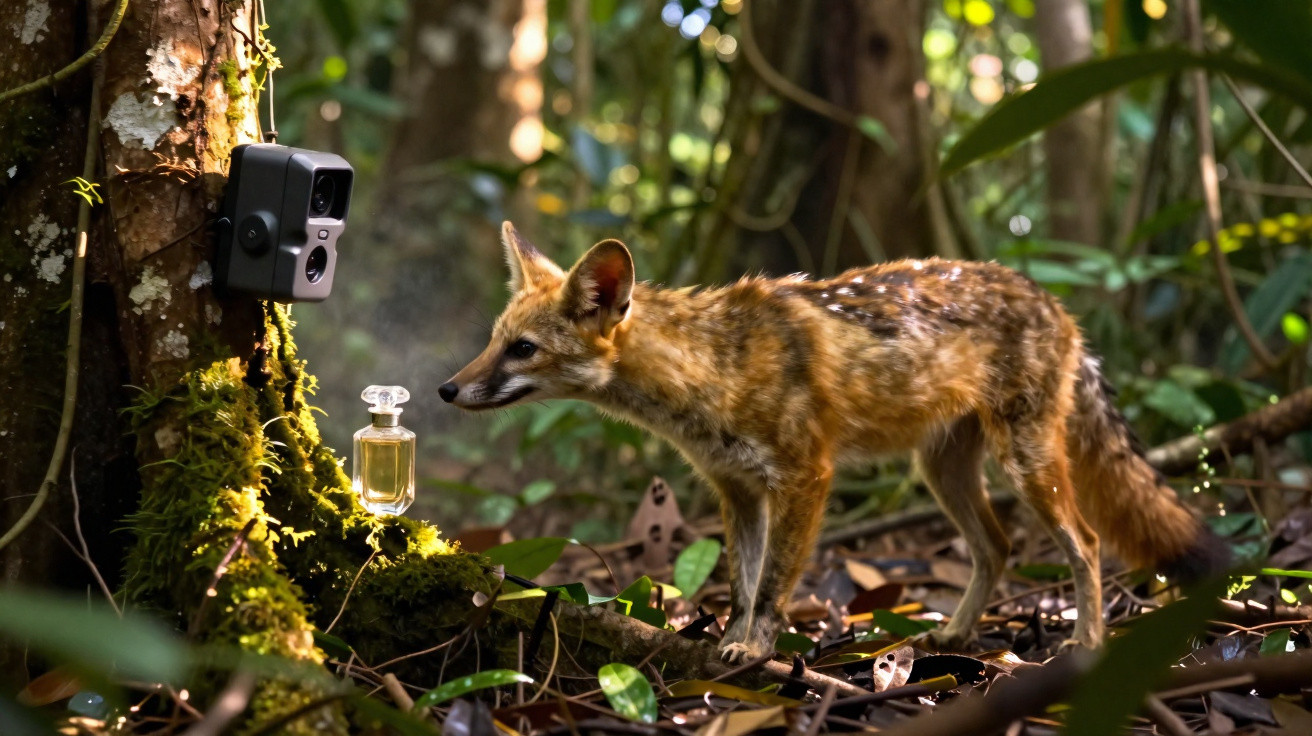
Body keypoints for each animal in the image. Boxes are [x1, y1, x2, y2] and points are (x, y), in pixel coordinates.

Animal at [440, 221, 1230, 662]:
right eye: (490, 341)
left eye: (522, 350)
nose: (446, 390)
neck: (711, 371)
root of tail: (1056, 303)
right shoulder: (738, 490)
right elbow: (743, 583)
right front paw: (728, 644)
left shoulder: (803, 476)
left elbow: (772, 589)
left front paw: (750, 651)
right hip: (944, 469)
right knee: (998, 546)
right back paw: (953, 636)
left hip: (1026, 464)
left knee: (1087, 544)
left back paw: (1086, 642)